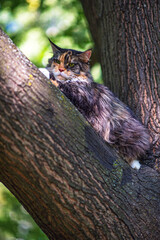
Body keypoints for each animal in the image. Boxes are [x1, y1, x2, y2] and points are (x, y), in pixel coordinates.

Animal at [39, 39, 151, 170]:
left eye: (71, 65)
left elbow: (60, 84)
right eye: (57, 61)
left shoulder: (80, 98)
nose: (61, 69)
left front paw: (44, 71)